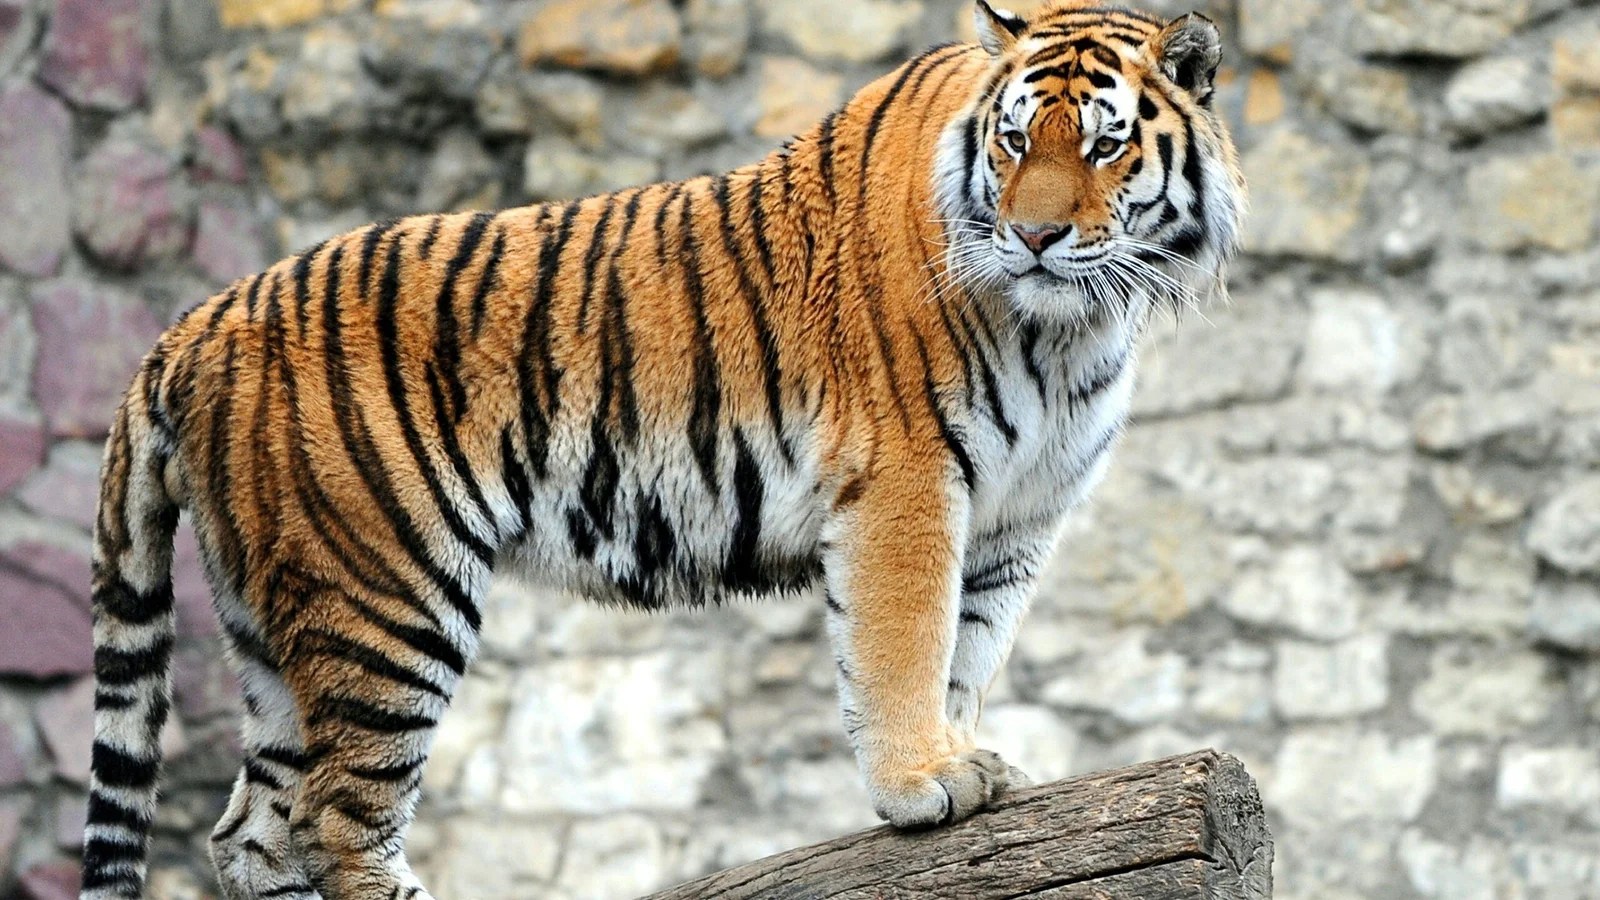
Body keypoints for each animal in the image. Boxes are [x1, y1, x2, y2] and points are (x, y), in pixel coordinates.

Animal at [79, 2, 1244, 897]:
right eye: (1013, 142)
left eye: (1101, 144)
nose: (1035, 237)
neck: (1070, 325)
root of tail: (190, 325)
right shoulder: (908, 480)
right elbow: (906, 642)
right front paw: (921, 784)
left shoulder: (1017, 514)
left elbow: (969, 648)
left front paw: (961, 759)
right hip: (385, 596)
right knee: (334, 815)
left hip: (276, 622)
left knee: (253, 830)